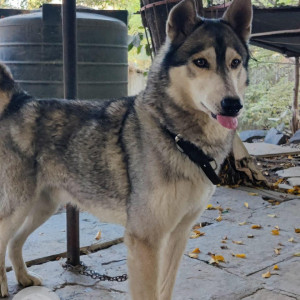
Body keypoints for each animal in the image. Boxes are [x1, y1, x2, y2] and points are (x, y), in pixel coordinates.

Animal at [0, 0, 253, 298]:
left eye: (235, 63)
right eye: (201, 62)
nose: (232, 104)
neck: (178, 138)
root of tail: (21, 100)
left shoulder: (178, 235)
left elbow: (165, 289)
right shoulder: (144, 240)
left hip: (44, 206)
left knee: (14, 241)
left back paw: (23, 278)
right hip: (18, 207)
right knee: (3, 239)